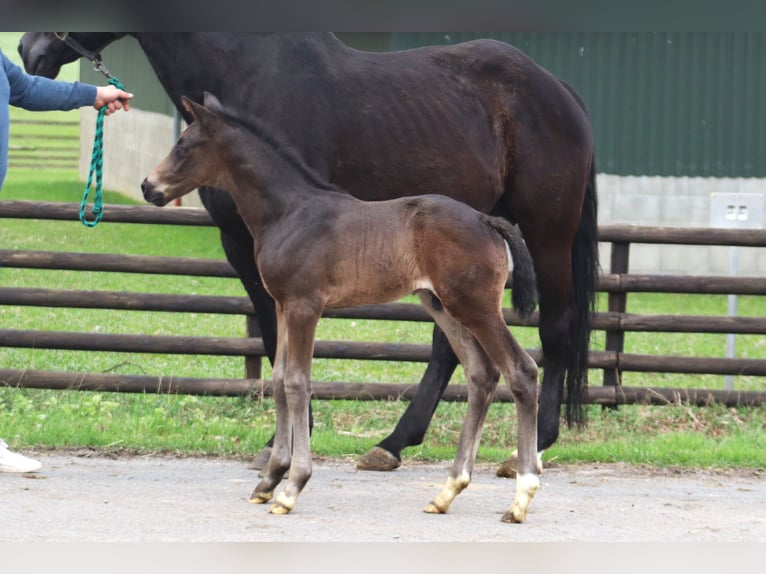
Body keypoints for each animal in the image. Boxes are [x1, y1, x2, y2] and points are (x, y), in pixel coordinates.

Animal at [141, 94, 544, 528]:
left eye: (184, 146)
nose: (148, 187)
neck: (289, 212)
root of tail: (487, 219)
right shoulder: (282, 305)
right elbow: (279, 380)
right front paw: (269, 480)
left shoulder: (305, 305)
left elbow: (297, 383)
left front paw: (292, 486)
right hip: (441, 305)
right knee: (481, 376)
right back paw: (447, 491)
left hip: (475, 306)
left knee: (521, 371)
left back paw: (520, 497)